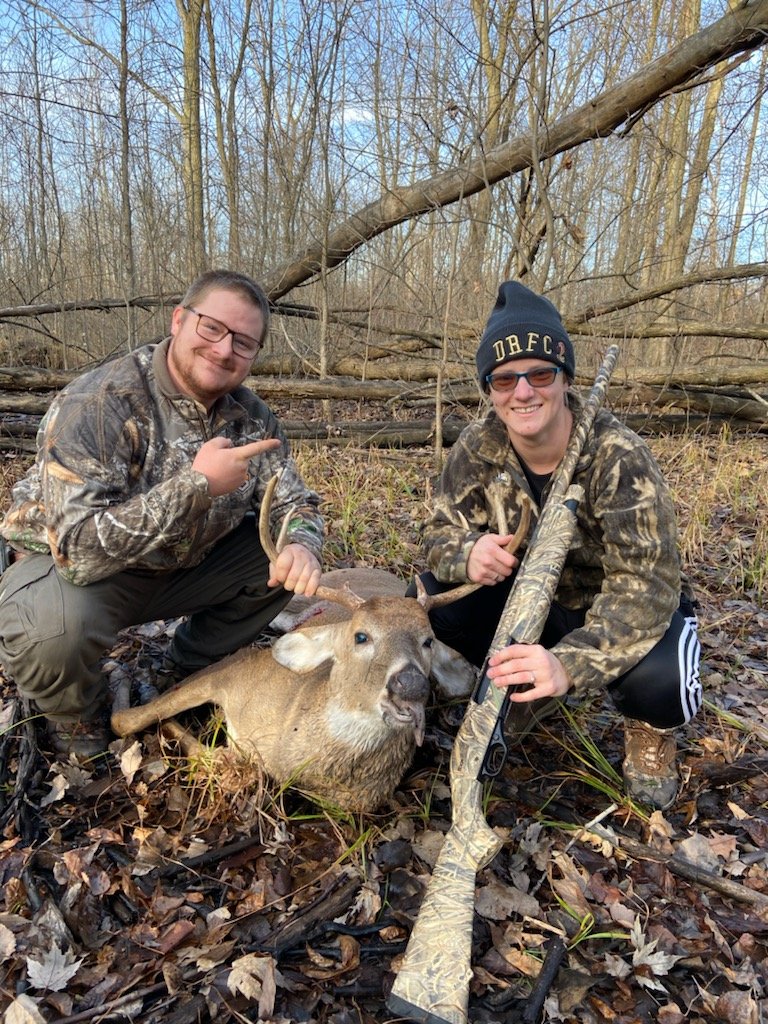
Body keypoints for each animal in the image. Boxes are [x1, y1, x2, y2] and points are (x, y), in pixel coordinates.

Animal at [111, 474, 530, 811]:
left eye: (428, 640)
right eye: (361, 635)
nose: (410, 685)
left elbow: (236, 767)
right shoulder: (236, 665)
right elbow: (128, 720)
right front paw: (134, 691)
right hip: (292, 601)